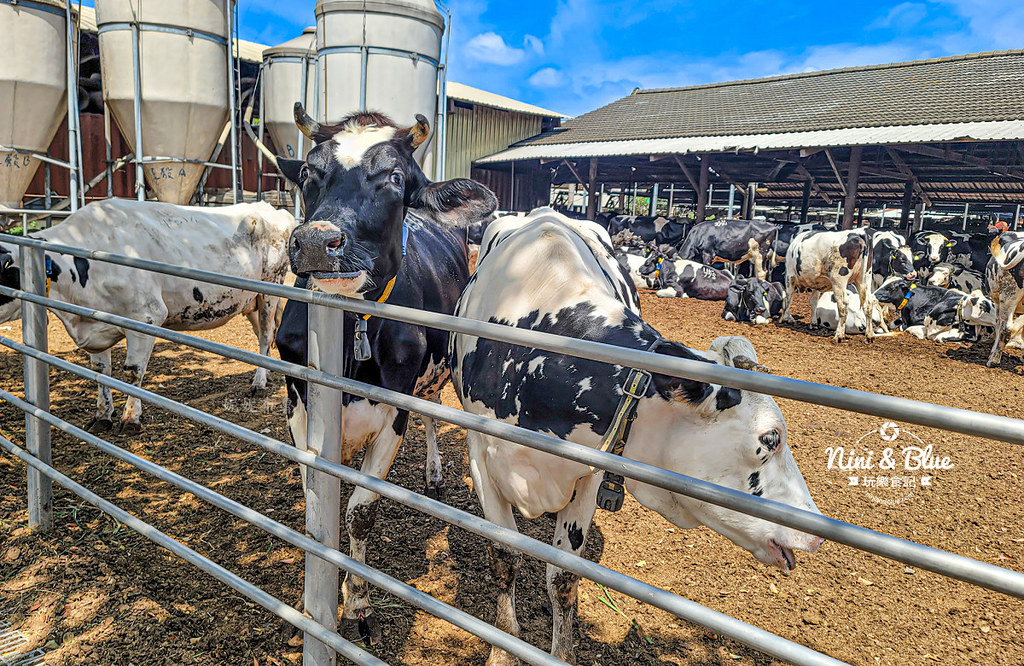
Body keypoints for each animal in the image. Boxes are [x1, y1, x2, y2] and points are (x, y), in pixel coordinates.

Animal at [1, 199, 296, 432]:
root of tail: (272, 208)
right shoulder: (94, 321)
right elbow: (101, 372)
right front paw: (102, 415)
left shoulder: (147, 318)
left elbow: (134, 373)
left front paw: (131, 419)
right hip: (250, 301)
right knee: (263, 335)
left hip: (271, 287)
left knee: (266, 335)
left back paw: (259, 382)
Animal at [272, 102, 495, 639]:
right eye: (307, 173)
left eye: (395, 177)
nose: (316, 242)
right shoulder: (298, 408)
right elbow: (317, 504)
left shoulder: (394, 414)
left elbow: (359, 512)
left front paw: (357, 605)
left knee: (433, 410)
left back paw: (434, 472)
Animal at [448, 209, 823, 663]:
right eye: (770, 439)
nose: (817, 531)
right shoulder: (480, 455)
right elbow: (504, 556)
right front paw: (502, 646)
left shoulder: (589, 471)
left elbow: (563, 577)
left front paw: (562, 651)